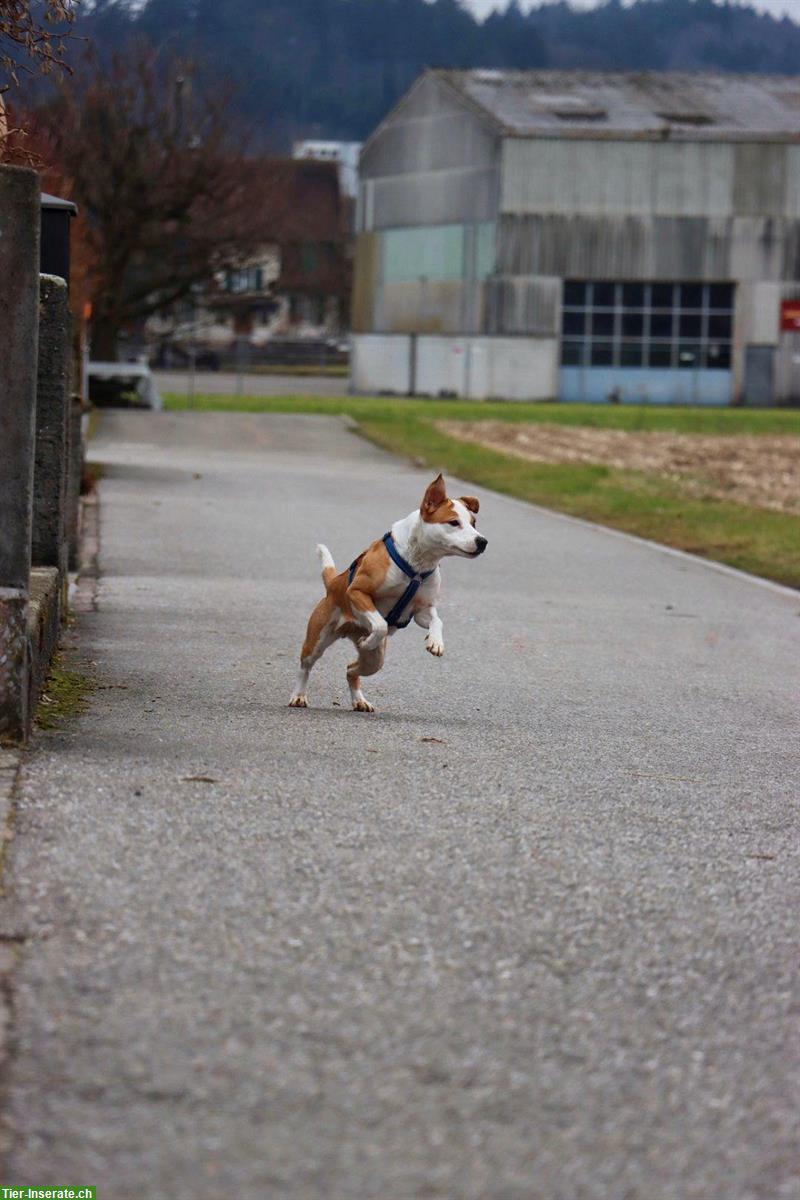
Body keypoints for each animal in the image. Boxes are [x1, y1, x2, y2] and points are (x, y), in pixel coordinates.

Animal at [289, 470, 489, 710]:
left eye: (474, 522)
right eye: (453, 522)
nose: (482, 541)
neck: (417, 565)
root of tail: (333, 583)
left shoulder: (422, 610)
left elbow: (437, 620)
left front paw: (435, 642)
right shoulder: (357, 592)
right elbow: (380, 624)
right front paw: (370, 638)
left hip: (375, 660)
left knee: (351, 669)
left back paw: (359, 700)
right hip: (318, 637)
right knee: (306, 665)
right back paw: (299, 695)